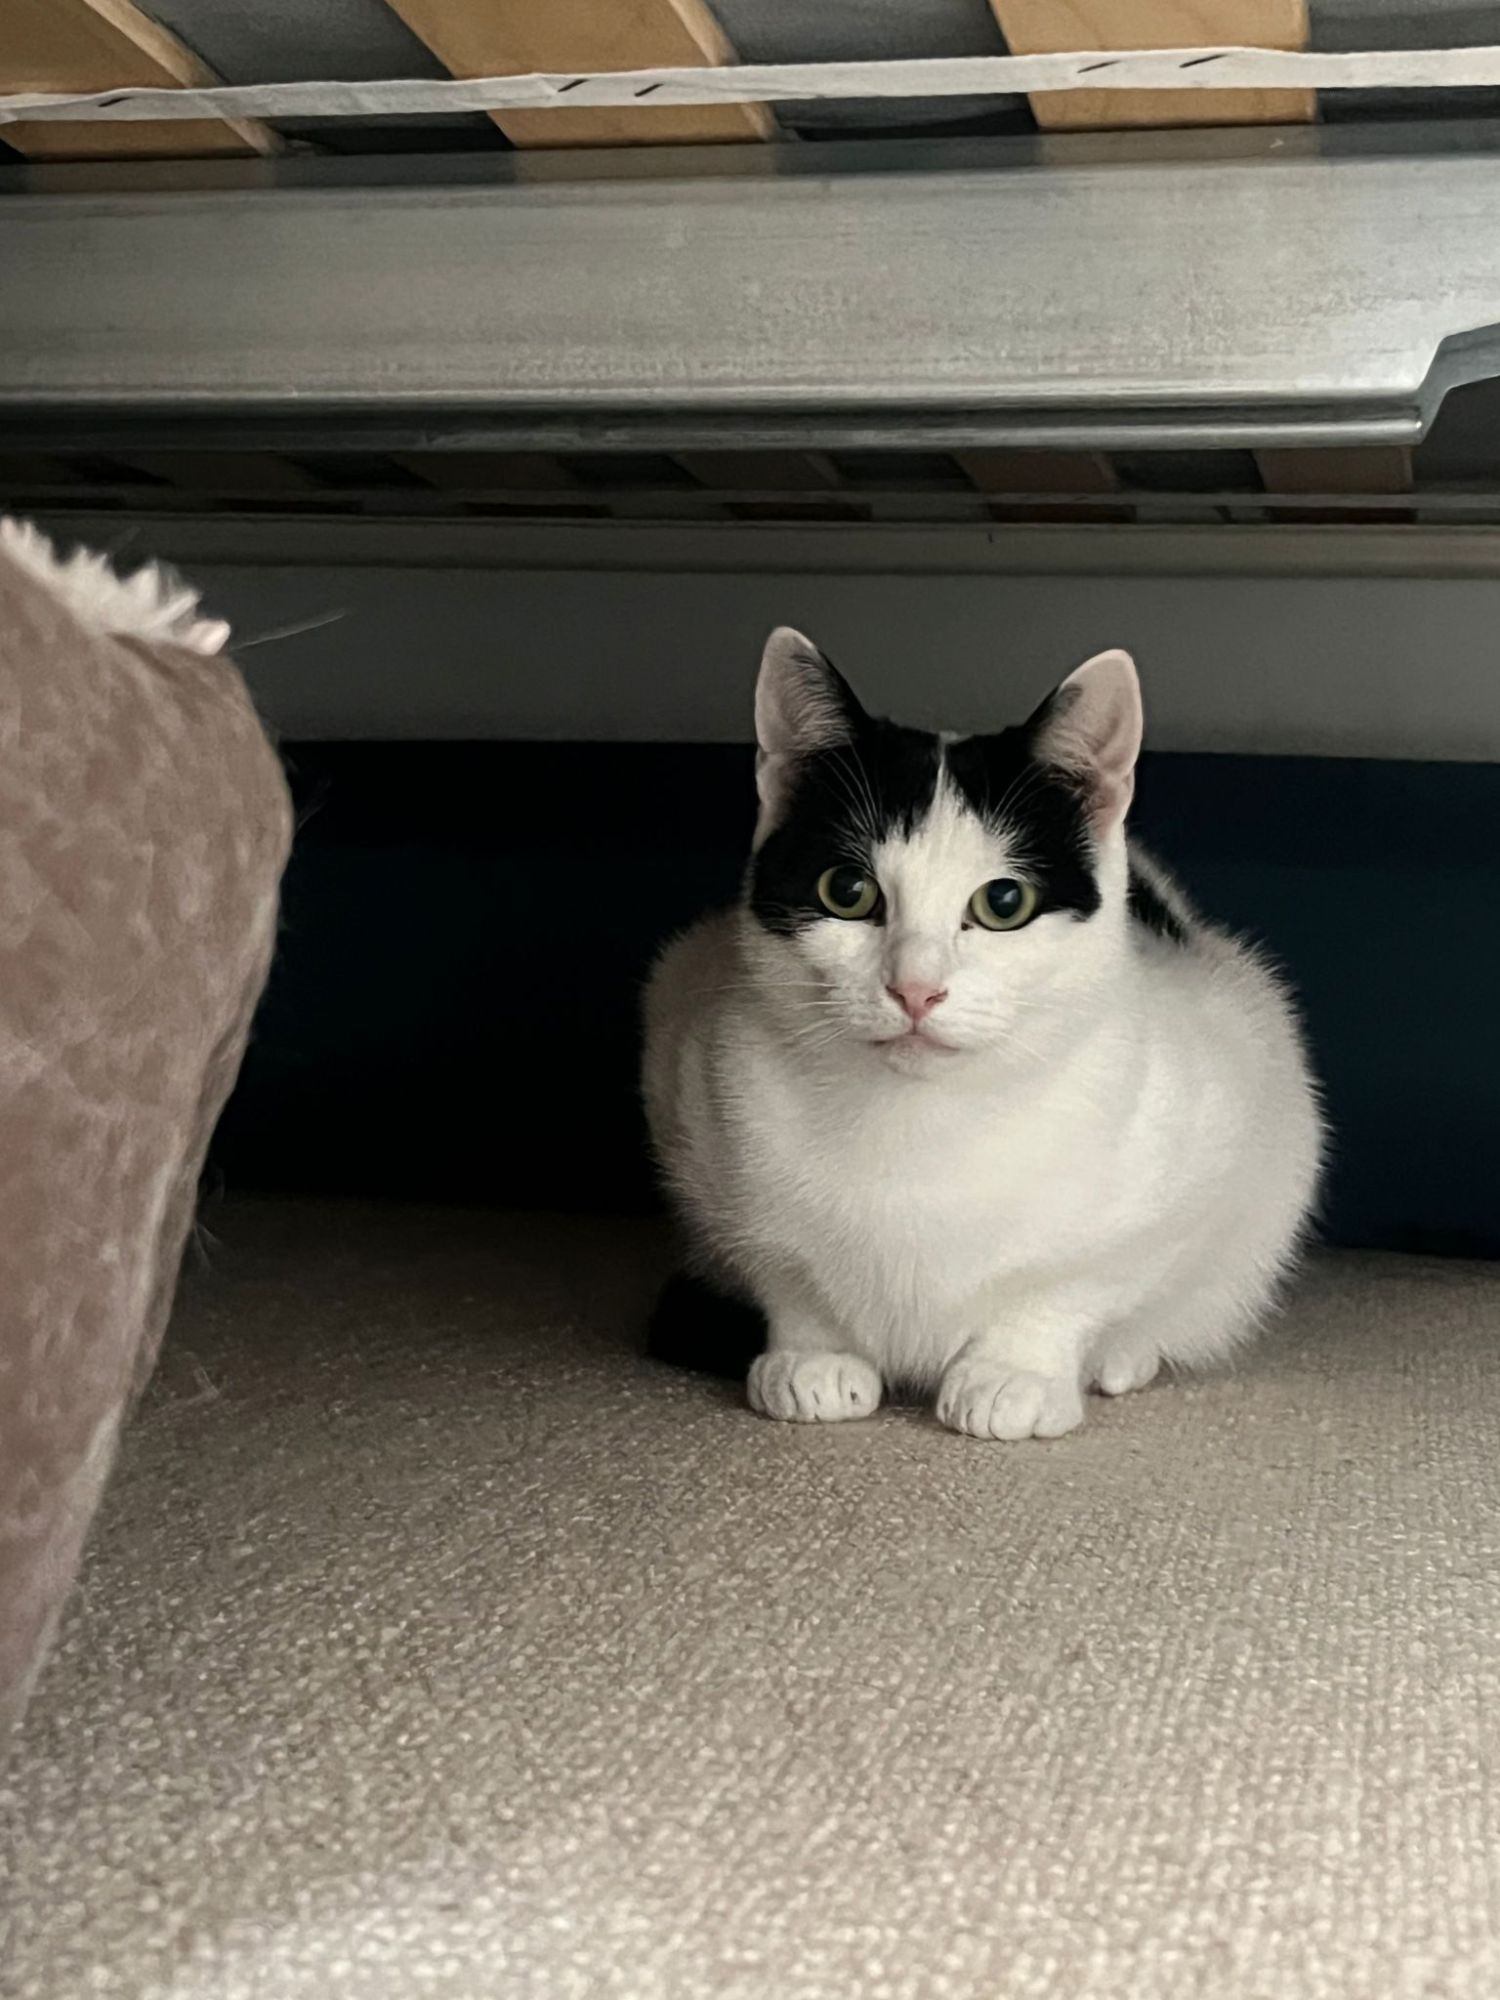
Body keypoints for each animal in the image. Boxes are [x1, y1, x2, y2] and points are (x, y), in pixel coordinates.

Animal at [640, 632, 1320, 1432]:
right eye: (848, 891)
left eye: (1003, 901)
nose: (915, 987)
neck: (922, 1123)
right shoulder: (693, 1089)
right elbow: (786, 1271)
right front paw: (814, 1356)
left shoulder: (1213, 1111)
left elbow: (1077, 1279)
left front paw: (1015, 1372)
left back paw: (1124, 1358)